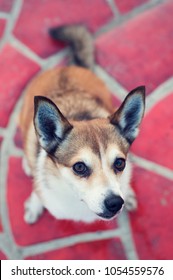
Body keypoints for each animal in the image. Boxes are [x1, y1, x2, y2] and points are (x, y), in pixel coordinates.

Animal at [19, 25, 145, 224]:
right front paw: (34, 203)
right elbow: (38, 189)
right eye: (79, 167)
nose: (115, 203)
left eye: (120, 163)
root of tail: (69, 66)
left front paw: (128, 191)